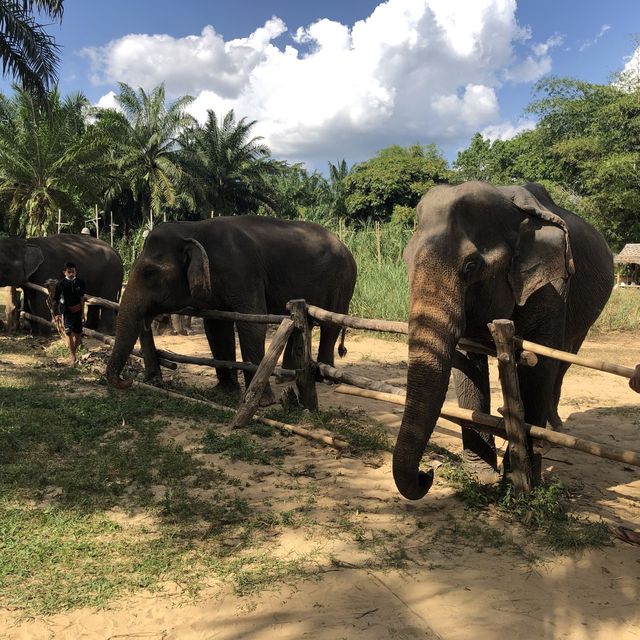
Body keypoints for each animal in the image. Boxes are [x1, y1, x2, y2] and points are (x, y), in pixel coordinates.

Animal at [107, 218, 360, 402]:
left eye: (149, 272)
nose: (127, 380)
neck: (193, 228)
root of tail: (346, 246)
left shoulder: (243, 272)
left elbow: (251, 322)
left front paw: (261, 402)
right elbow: (216, 326)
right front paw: (223, 392)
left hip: (343, 281)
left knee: (330, 325)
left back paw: (325, 380)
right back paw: (285, 379)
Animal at [396, 180, 616, 500]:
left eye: (471, 267)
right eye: (406, 259)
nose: (427, 473)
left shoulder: (551, 284)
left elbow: (538, 367)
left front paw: (521, 477)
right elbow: (468, 365)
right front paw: (482, 474)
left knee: (563, 359)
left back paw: (551, 434)